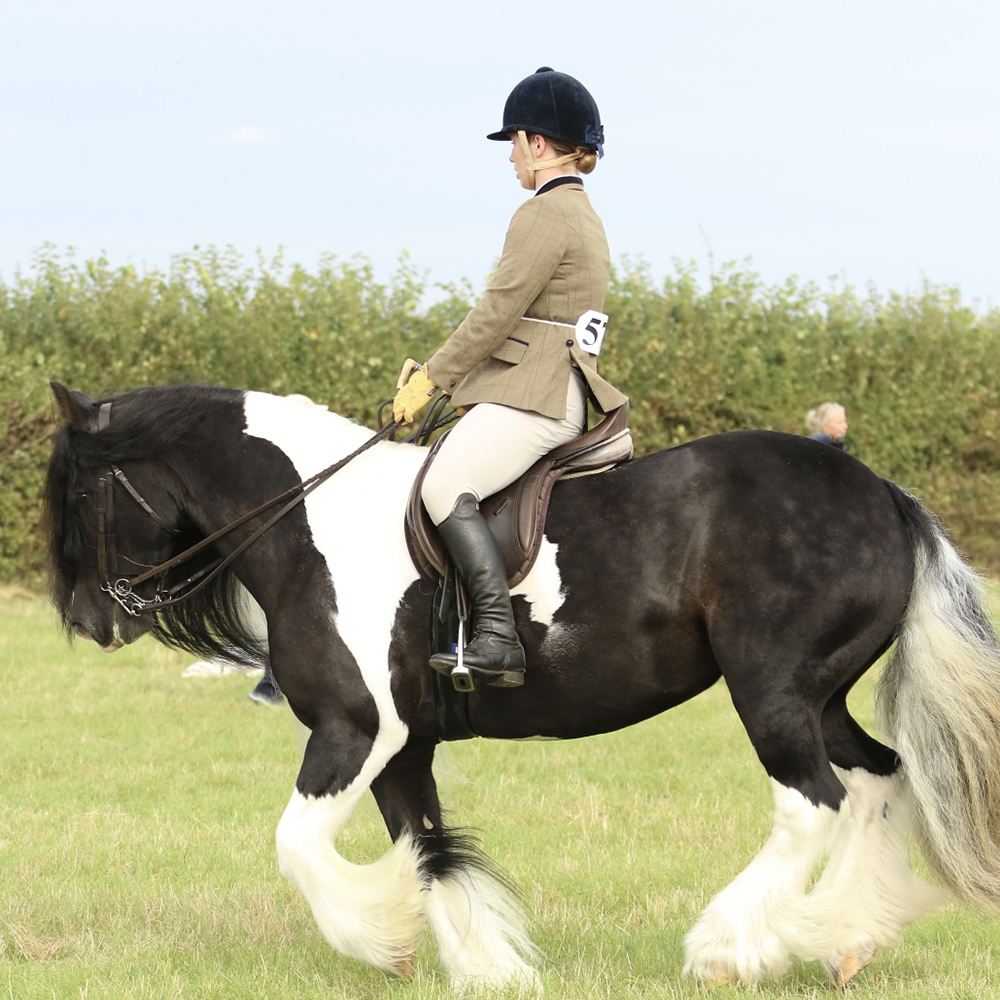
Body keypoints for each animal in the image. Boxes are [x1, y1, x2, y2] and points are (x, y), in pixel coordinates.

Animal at [43, 381, 1000, 990]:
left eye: (82, 494)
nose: (90, 622)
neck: (312, 523)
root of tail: (883, 493)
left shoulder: (356, 731)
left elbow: (297, 846)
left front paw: (381, 944)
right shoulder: (405, 749)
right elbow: (429, 851)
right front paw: (486, 970)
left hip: (772, 692)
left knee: (813, 803)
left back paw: (726, 949)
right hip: (820, 695)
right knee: (879, 780)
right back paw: (845, 939)